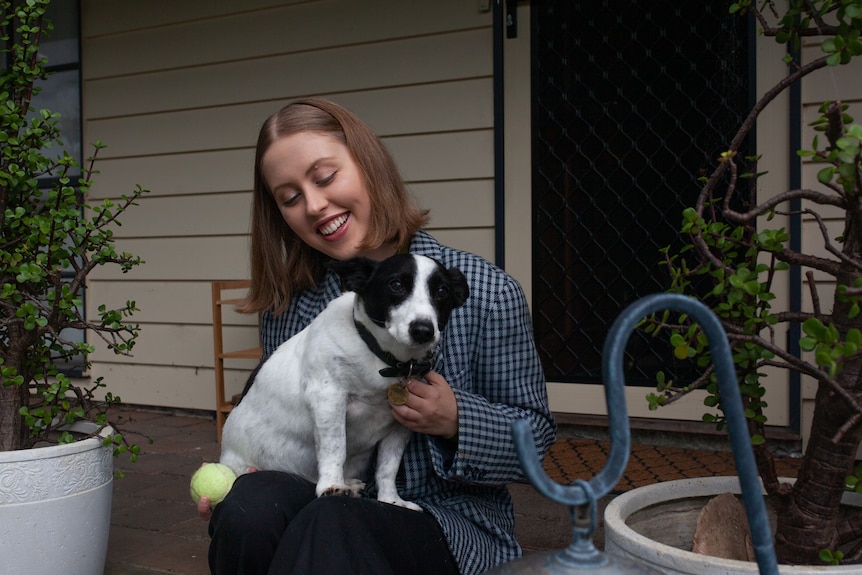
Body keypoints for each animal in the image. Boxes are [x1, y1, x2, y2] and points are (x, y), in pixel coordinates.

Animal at [219, 254, 470, 510]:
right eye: (396, 284)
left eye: (442, 291)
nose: (423, 330)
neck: (382, 358)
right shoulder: (328, 399)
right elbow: (335, 448)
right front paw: (331, 484)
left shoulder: (400, 423)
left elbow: (387, 468)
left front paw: (390, 500)